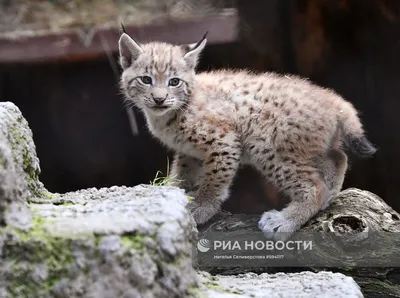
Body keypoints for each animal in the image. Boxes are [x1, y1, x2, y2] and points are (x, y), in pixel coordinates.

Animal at [118, 29, 376, 240]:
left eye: (174, 82)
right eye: (146, 80)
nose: (159, 99)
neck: (168, 114)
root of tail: (333, 99)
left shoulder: (224, 141)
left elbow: (214, 181)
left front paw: (200, 208)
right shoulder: (189, 152)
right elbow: (182, 175)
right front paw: (171, 192)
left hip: (265, 145)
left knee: (315, 185)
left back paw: (285, 220)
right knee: (338, 157)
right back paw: (329, 196)